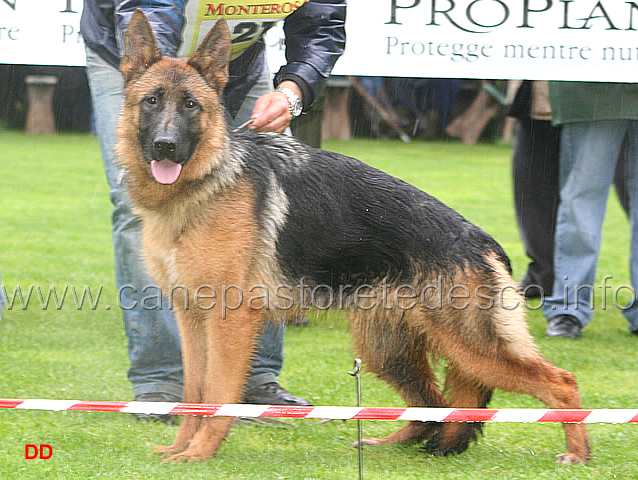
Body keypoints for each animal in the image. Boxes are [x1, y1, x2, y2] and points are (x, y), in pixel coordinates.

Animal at [119, 9, 592, 464]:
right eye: (152, 101)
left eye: (191, 105)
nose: (164, 146)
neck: (206, 182)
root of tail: (483, 241)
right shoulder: (191, 318)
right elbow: (193, 393)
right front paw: (183, 447)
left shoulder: (229, 320)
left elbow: (217, 395)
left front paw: (200, 452)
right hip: (387, 349)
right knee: (433, 406)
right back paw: (391, 442)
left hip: (469, 346)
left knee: (561, 382)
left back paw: (577, 451)